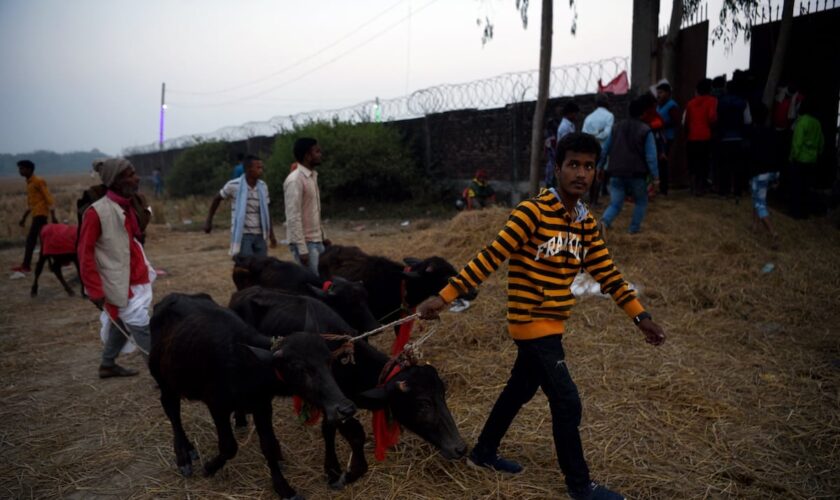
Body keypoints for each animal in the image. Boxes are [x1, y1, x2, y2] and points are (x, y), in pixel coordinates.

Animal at [151, 292, 354, 500]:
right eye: (300, 368)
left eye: (328, 360)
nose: (345, 408)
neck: (247, 364)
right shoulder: (217, 406)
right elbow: (229, 446)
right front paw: (209, 467)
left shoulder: (261, 406)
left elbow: (268, 446)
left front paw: (283, 487)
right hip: (164, 381)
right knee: (172, 411)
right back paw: (183, 455)